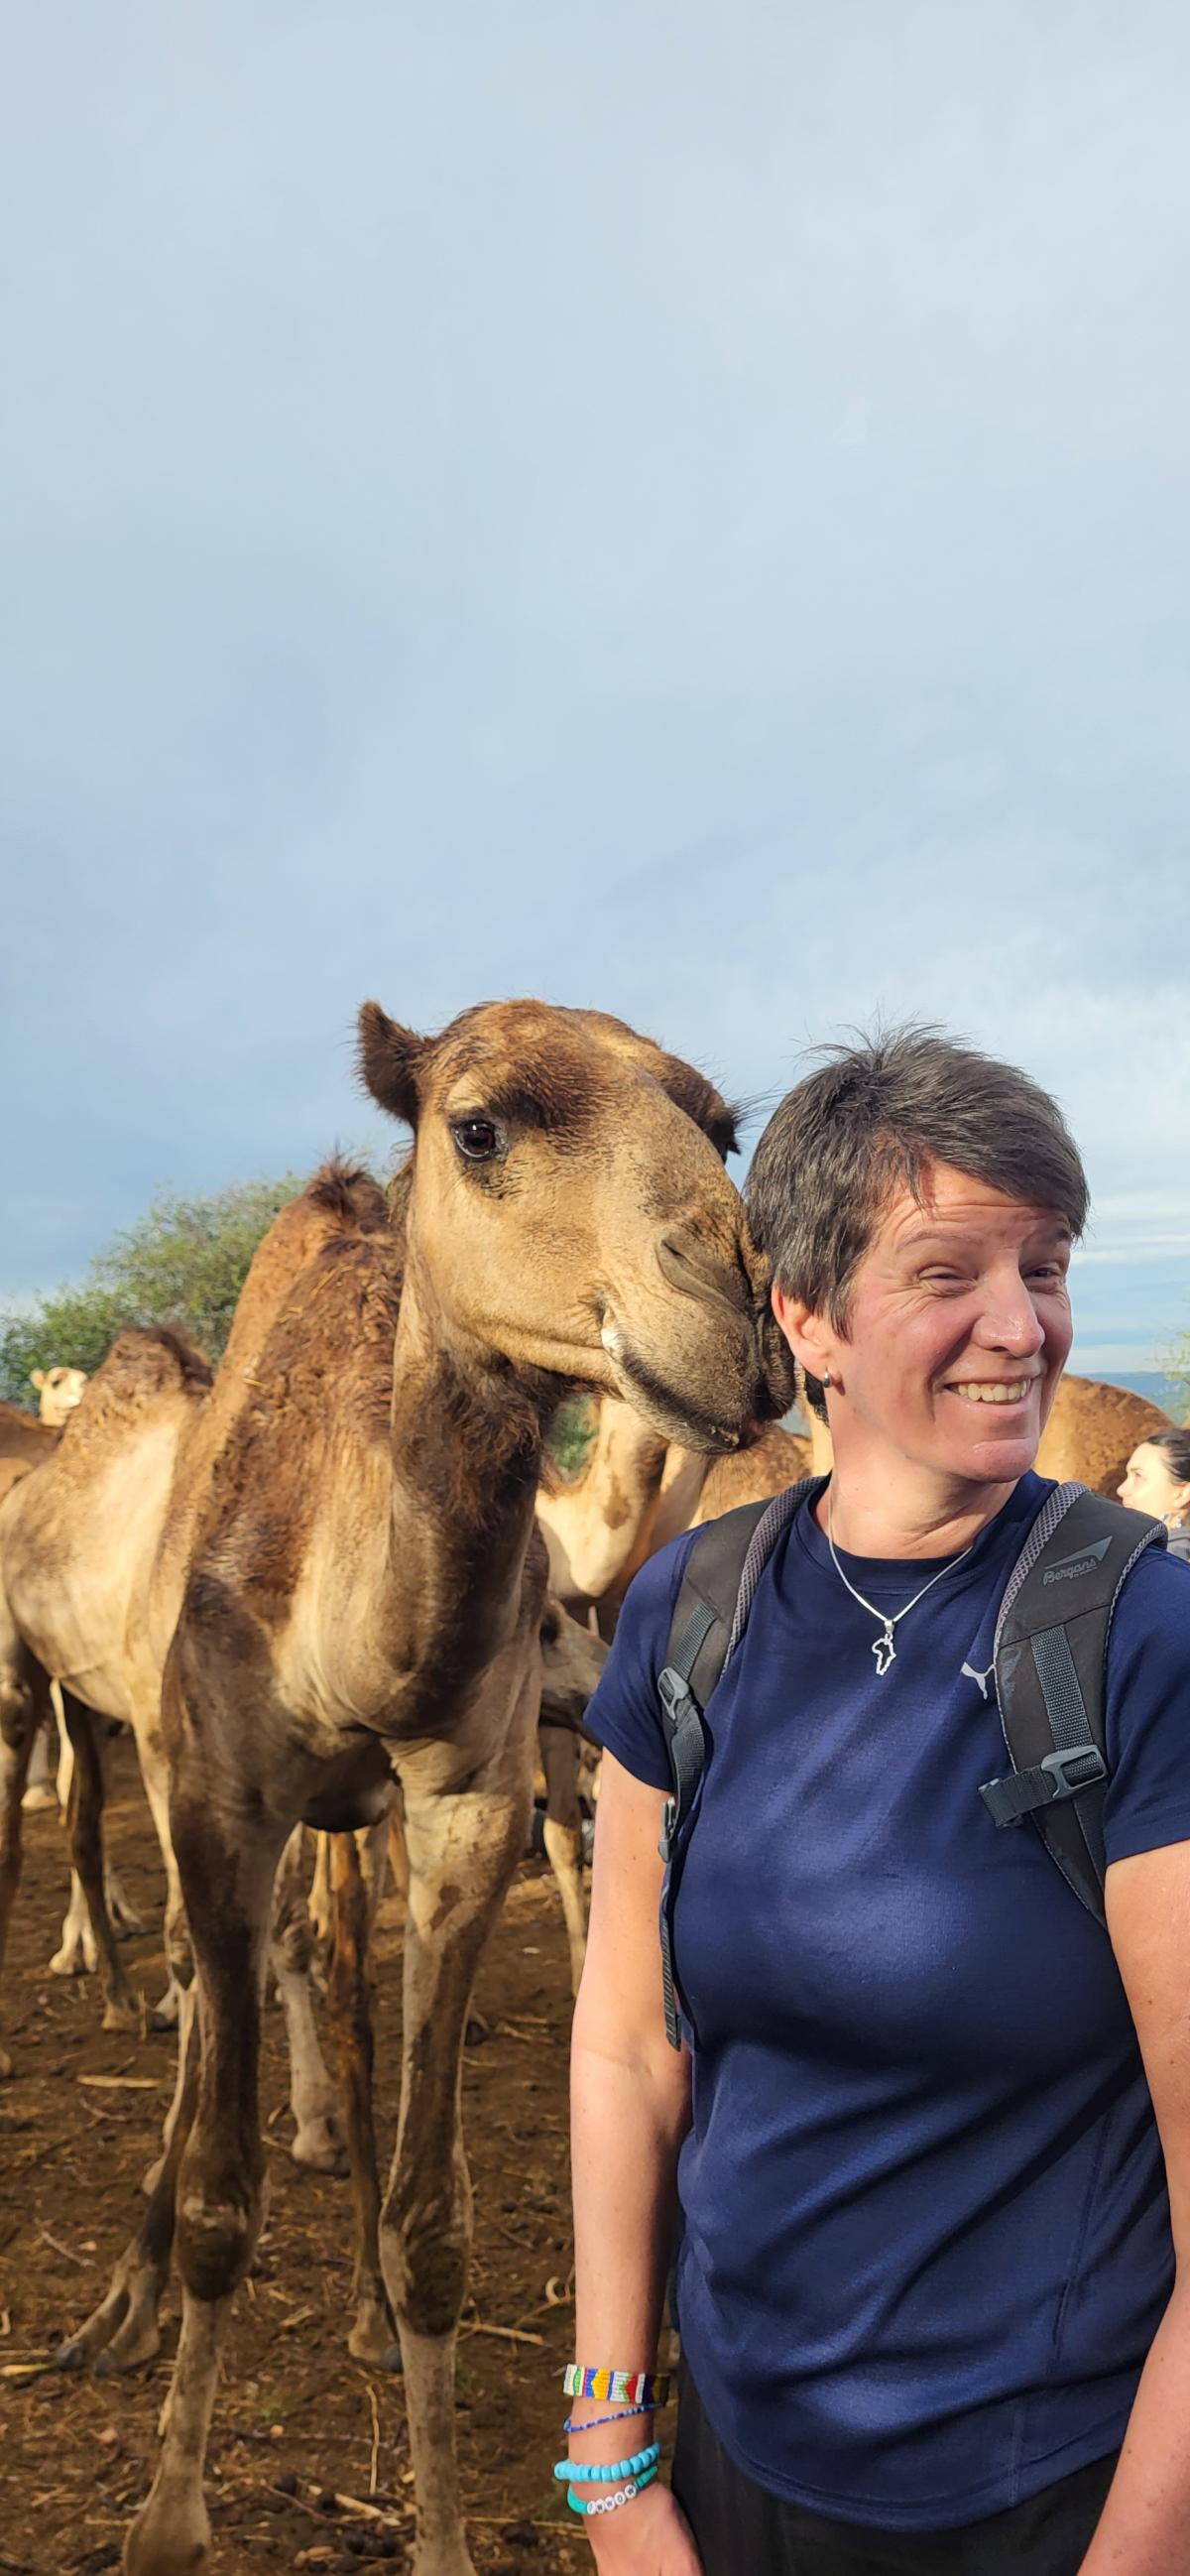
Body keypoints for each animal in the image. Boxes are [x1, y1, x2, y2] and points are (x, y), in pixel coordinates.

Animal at [48, 996, 790, 2576]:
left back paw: (361, 2310)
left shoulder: (467, 1802)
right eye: (481, 1123)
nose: (744, 1305)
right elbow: (223, 2195)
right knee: (218, 1992)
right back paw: (124, 2303)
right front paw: (168, 2517)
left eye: (721, 1120)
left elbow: (435, 2223)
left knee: (336, 1980)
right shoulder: (215, 1794)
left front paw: (436, 2512)